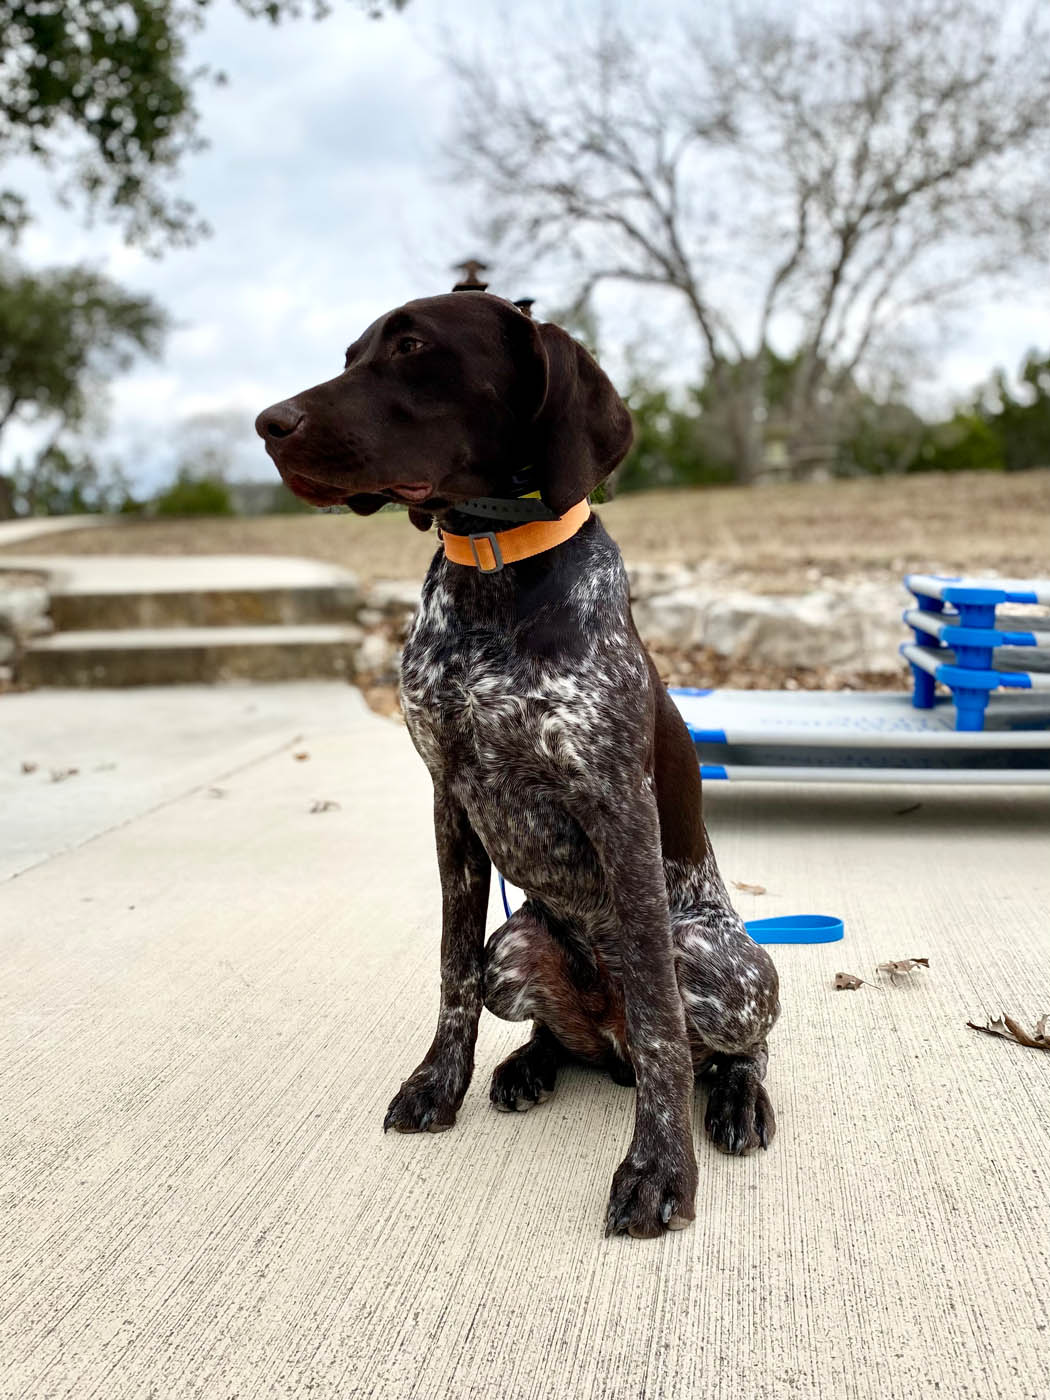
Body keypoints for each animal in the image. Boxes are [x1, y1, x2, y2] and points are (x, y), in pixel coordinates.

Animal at [254, 292, 784, 1237]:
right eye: (351, 354)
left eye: (414, 346)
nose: (268, 424)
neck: (492, 571)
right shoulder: (449, 804)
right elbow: (451, 970)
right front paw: (441, 1083)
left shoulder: (619, 808)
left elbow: (661, 1021)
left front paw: (658, 1167)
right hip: (519, 942)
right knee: (554, 1025)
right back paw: (530, 1064)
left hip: (730, 962)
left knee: (730, 1042)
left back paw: (736, 1096)